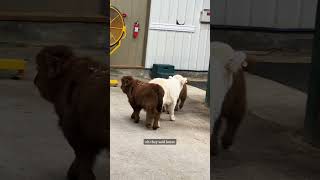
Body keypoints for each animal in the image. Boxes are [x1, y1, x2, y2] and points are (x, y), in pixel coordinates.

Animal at [33, 45, 109, 180]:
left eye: (39, 67)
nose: (35, 80)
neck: (66, 75)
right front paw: (72, 173)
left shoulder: (76, 135)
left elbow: (84, 158)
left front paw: (80, 175)